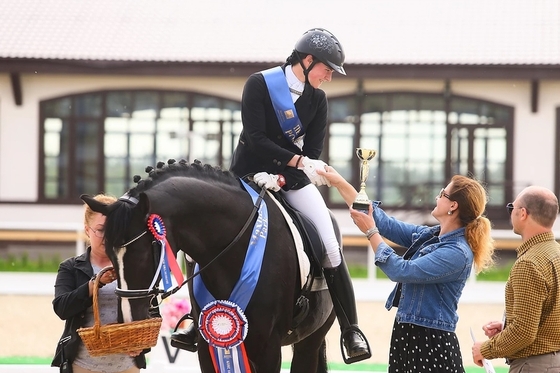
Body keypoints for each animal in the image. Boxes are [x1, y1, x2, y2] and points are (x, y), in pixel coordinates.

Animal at [81, 158, 336, 370]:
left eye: (143, 253)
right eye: (109, 254)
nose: (128, 321)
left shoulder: (268, 348)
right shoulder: (208, 347)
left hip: (310, 341)